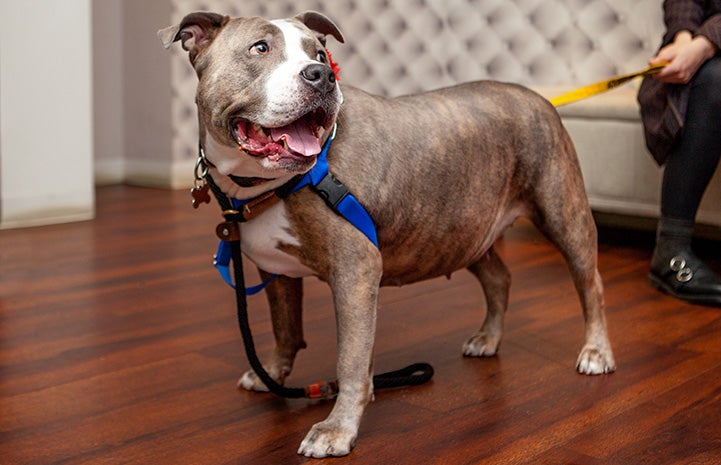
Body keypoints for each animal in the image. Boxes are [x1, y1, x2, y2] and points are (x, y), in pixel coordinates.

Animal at [158, 10, 612, 456]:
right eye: (259, 48)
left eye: (319, 54)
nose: (322, 76)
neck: (265, 184)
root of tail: (536, 96)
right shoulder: (277, 269)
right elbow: (285, 328)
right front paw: (270, 373)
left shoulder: (355, 272)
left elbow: (351, 359)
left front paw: (337, 429)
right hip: (463, 232)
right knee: (499, 278)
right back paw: (488, 338)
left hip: (564, 215)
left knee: (590, 284)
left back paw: (595, 351)